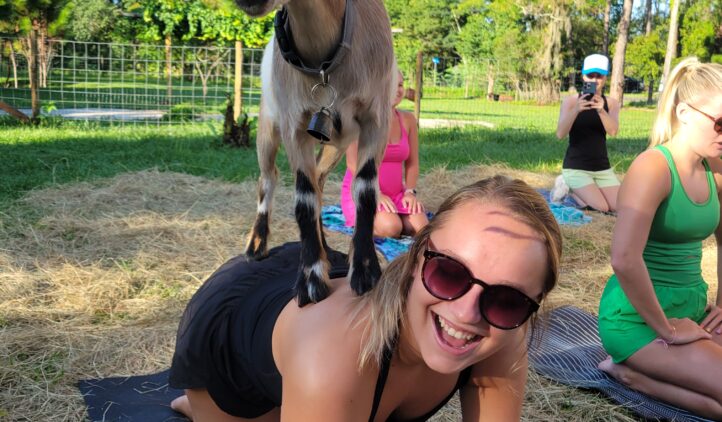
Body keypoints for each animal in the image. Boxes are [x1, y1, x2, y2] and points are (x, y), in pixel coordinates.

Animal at [235, 0, 395, 306]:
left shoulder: (377, 119)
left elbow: (366, 189)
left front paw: (365, 269)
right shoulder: (294, 125)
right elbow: (304, 197)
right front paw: (311, 279)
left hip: (337, 143)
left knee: (319, 179)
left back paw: (325, 246)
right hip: (268, 123)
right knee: (268, 178)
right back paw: (256, 245)